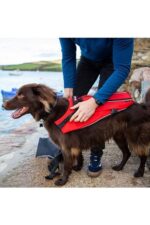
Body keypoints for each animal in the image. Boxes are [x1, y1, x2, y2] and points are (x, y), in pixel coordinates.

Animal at [2, 83, 150, 185]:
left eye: (21, 95)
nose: (3, 105)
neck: (51, 111)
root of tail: (141, 106)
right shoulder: (74, 143)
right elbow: (79, 156)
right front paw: (78, 167)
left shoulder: (66, 146)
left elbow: (66, 164)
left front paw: (63, 180)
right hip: (118, 136)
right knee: (127, 153)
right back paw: (119, 167)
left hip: (135, 137)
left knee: (143, 155)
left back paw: (139, 172)